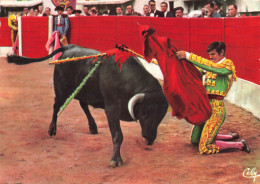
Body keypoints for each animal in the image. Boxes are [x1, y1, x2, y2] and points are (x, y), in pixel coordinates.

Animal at [7, 44, 169, 167]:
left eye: (161, 116)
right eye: (144, 113)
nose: (150, 138)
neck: (125, 80)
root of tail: (69, 47)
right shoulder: (111, 110)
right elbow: (118, 135)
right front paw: (115, 160)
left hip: (82, 91)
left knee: (83, 104)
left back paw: (93, 127)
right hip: (61, 90)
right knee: (56, 106)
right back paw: (52, 130)